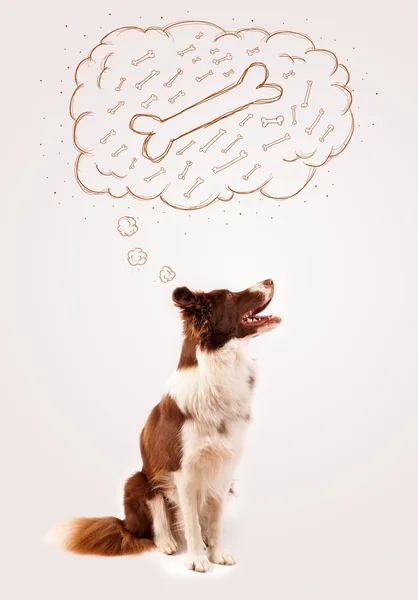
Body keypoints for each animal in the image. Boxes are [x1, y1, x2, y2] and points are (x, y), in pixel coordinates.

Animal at [48, 280, 280, 572]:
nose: (270, 280)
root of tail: (126, 524)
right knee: (157, 519)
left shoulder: (223, 469)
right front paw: (197, 559)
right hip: (139, 481)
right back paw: (167, 543)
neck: (220, 371)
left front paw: (216, 554)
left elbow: (214, 522)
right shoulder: (183, 472)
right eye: (229, 296)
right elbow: (190, 522)